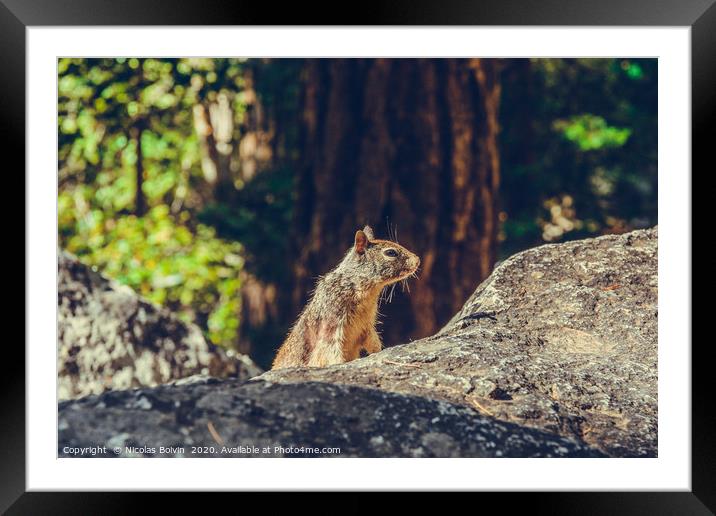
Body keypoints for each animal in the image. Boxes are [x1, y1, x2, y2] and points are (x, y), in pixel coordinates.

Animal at [272, 224, 420, 368]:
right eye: (390, 252)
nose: (418, 260)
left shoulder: (366, 327)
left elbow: (373, 342)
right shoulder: (332, 328)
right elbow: (332, 353)